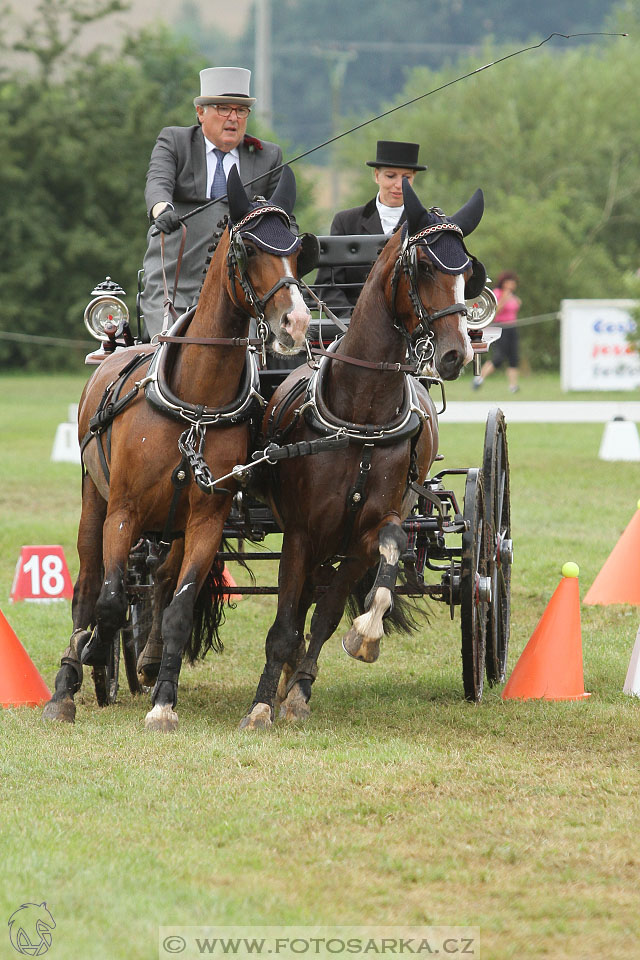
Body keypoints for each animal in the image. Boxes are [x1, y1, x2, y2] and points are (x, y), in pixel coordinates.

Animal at [42, 169, 310, 732]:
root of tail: (118, 344)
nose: (296, 324)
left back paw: (145, 663)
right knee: (89, 585)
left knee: (162, 582)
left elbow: (180, 608)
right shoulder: (122, 511)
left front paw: (164, 700)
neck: (196, 403)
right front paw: (96, 652)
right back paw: (68, 683)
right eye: (249, 248)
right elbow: (110, 599)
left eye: (298, 250)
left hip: (176, 526)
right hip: (94, 500)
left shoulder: (207, 519)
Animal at [240, 176, 484, 728]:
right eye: (424, 266)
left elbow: (337, 608)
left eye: (468, 273)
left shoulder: (368, 530)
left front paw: (349, 650)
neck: (364, 416)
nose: (456, 353)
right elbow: (285, 623)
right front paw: (262, 704)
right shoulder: (302, 532)